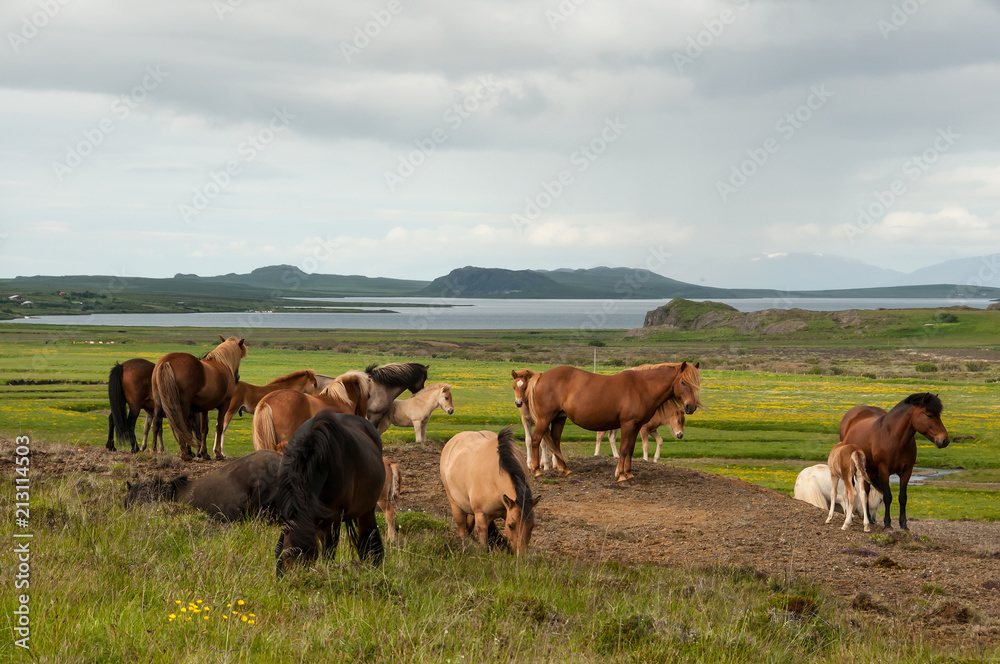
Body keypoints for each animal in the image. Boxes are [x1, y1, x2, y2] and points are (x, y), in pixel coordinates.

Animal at [274, 410, 386, 576]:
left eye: (308, 558)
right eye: (287, 557)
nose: (297, 578)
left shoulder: (334, 520)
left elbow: (328, 554)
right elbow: (279, 547)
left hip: (365, 511)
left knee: (367, 538)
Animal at [442, 426, 540, 556]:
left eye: (532, 526)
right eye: (510, 526)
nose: (521, 555)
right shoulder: (481, 516)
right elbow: (484, 544)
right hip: (456, 505)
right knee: (463, 531)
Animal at [524, 364, 704, 482]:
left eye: (697, 384)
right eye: (683, 382)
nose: (690, 406)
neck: (642, 387)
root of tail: (541, 375)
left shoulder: (636, 426)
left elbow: (630, 449)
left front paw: (629, 473)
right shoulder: (628, 424)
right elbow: (623, 448)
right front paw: (621, 475)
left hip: (559, 417)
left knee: (555, 441)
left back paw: (564, 470)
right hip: (545, 417)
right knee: (536, 439)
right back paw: (537, 470)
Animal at [840, 392, 948, 532]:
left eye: (939, 415)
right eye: (929, 415)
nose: (945, 440)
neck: (894, 438)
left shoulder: (907, 472)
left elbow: (903, 497)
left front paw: (904, 524)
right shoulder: (884, 471)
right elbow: (887, 497)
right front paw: (887, 524)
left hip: (869, 470)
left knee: (867, 492)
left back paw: (869, 519)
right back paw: (852, 518)